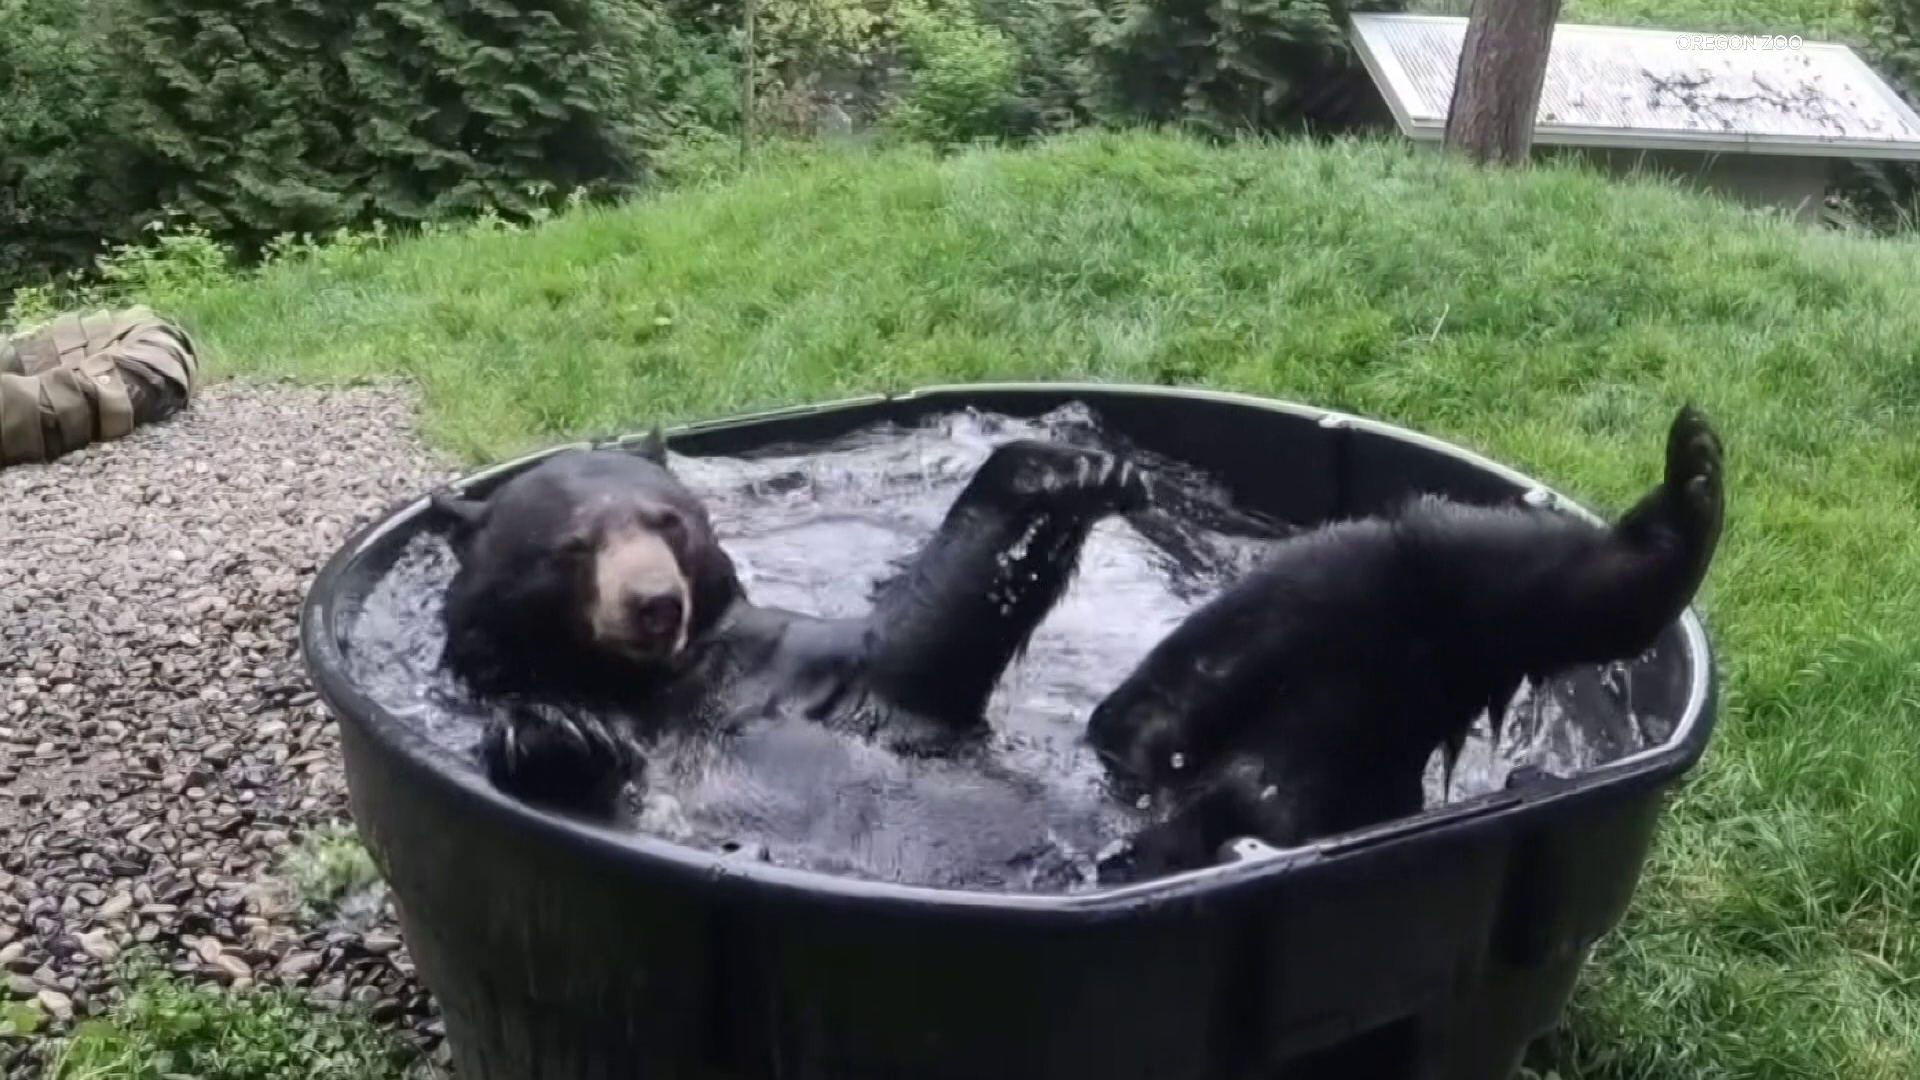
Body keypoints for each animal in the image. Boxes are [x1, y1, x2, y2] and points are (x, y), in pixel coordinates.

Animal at [428, 424, 1144, 880]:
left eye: (669, 522)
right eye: (573, 546)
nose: (656, 603)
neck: (653, 683)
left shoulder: (786, 664)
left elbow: (909, 652)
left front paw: (1069, 467)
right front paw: (557, 731)